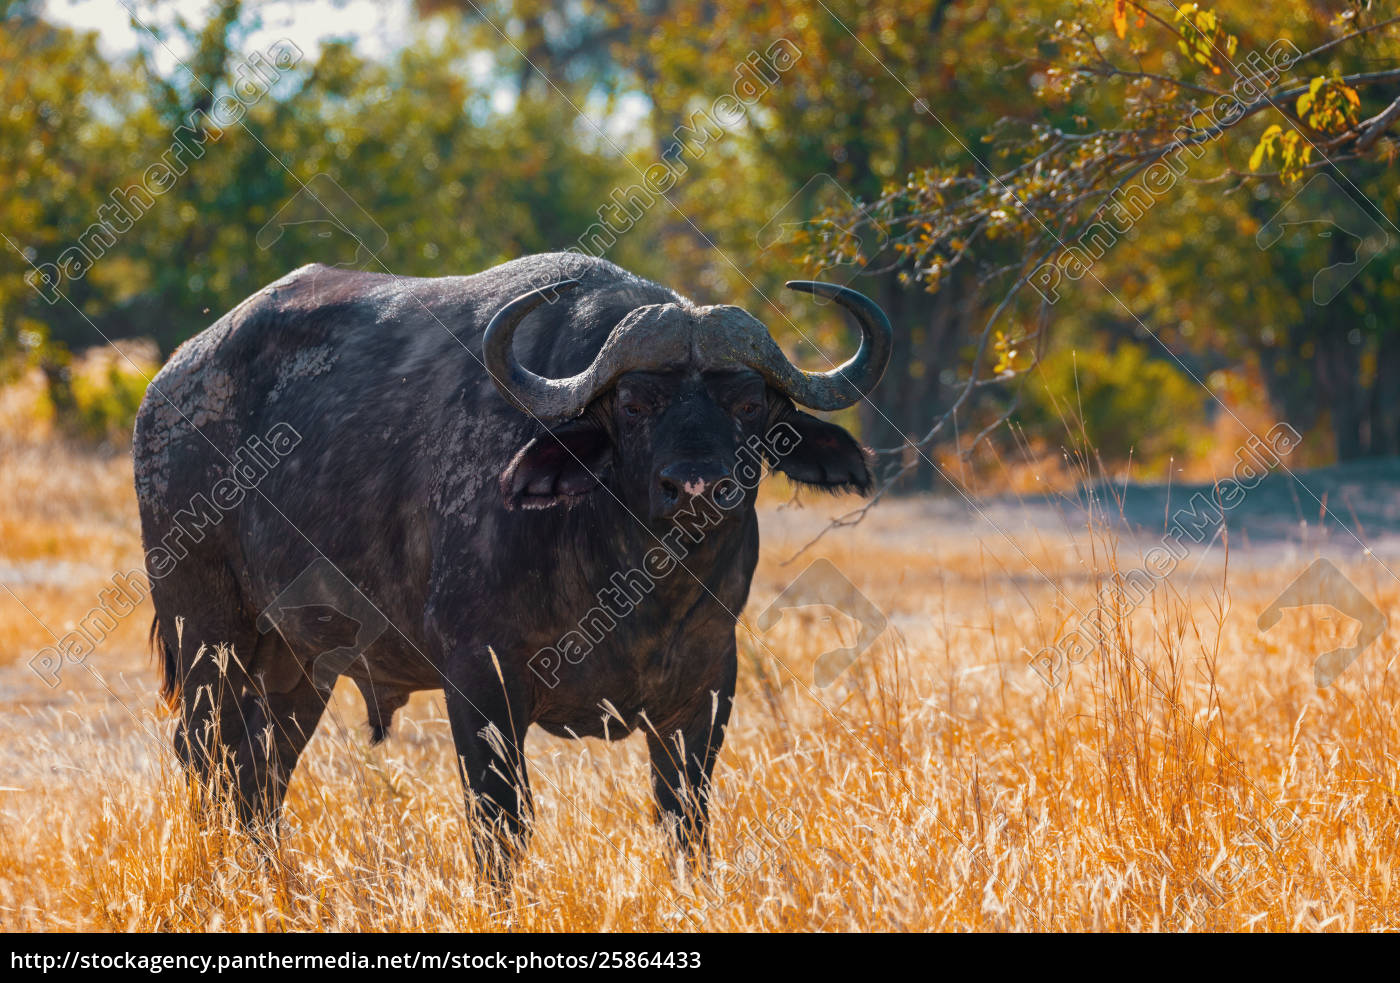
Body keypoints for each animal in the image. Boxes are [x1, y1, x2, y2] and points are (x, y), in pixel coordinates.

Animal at [136, 252, 890, 879]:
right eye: (636, 403)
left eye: (749, 404)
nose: (697, 486)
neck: (639, 589)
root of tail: (171, 382)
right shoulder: (479, 678)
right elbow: (502, 825)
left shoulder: (705, 689)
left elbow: (685, 821)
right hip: (206, 633)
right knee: (205, 751)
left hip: (296, 663)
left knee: (259, 767)